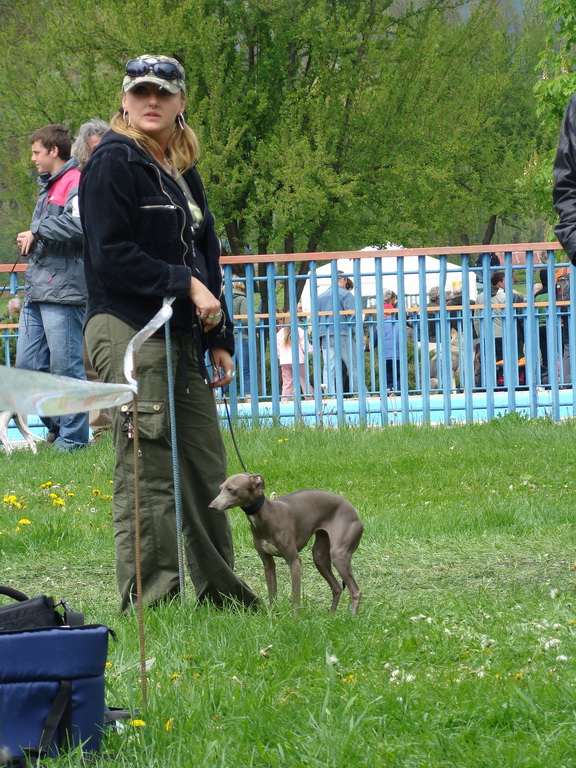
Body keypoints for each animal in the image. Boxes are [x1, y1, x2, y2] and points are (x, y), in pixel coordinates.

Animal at [207, 472, 362, 616]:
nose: (211, 506)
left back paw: (351, 617)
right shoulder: (268, 564)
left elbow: (295, 597)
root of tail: (353, 510)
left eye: (231, 489)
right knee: (337, 587)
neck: (267, 514)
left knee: (356, 591)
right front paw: (273, 616)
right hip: (320, 556)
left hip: (339, 555)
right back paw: (331, 615)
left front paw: (295, 619)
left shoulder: (294, 561)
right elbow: (272, 594)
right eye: (220, 488)